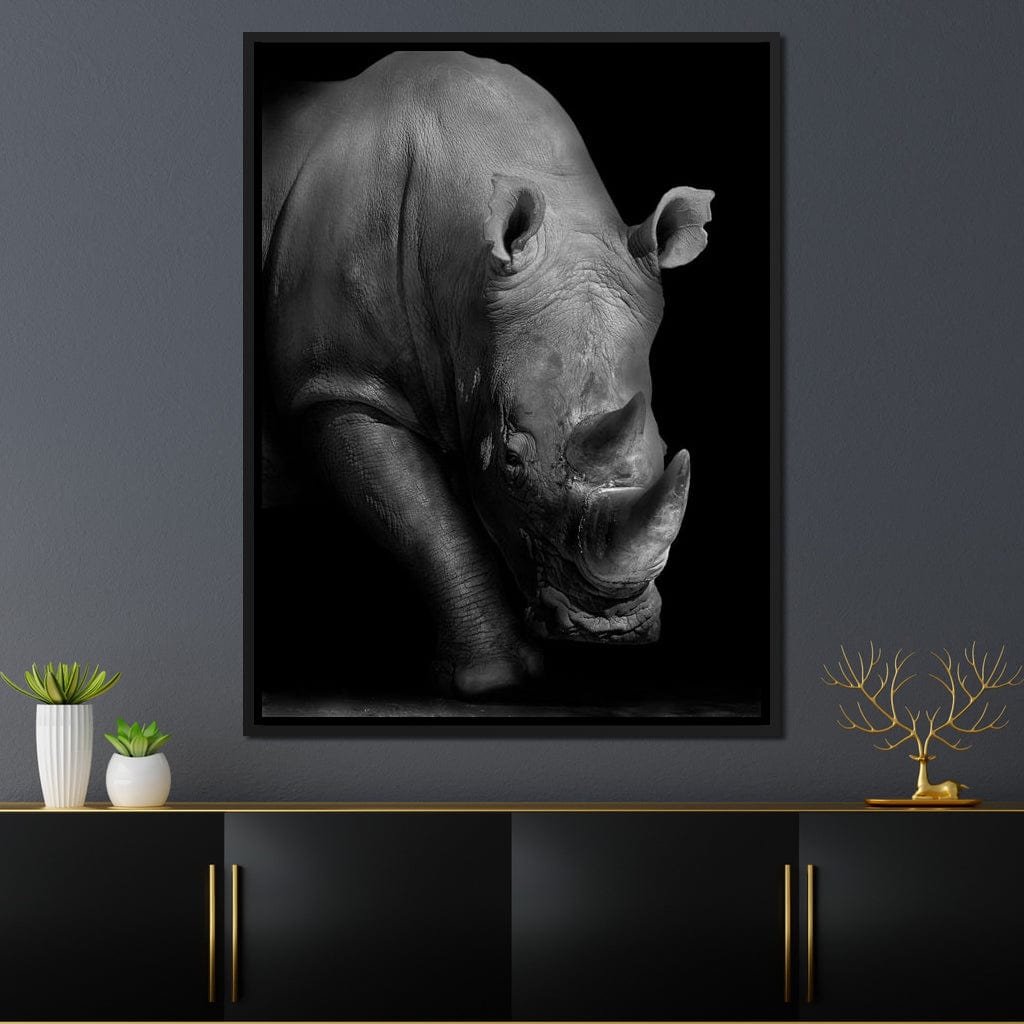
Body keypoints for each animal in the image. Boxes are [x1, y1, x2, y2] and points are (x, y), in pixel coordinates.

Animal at [261, 50, 713, 700]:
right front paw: (491, 681)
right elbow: (423, 519)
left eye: (660, 445)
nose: (610, 628)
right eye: (512, 460)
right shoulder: (338, 383)